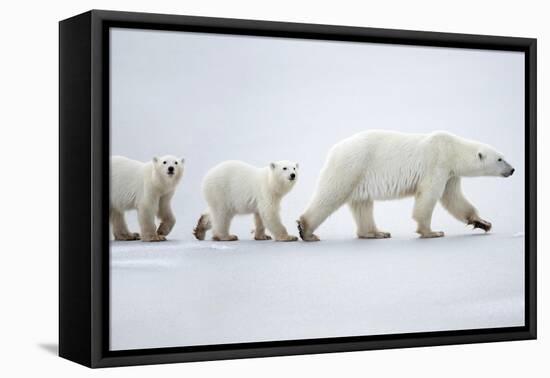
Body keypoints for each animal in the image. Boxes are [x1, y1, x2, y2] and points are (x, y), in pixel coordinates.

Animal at [300, 131, 516, 241]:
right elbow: (428, 196)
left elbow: (454, 199)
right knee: (331, 195)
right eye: (500, 159)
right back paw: (306, 230)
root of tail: (334, 149)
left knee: (362, 204)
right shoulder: (437, 163)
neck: (452, 149)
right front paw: (432, 232)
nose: (513, 169)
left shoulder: (450, 175)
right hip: (352, 166)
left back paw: (376, 232)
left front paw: (483, 222)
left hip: (359, 176)